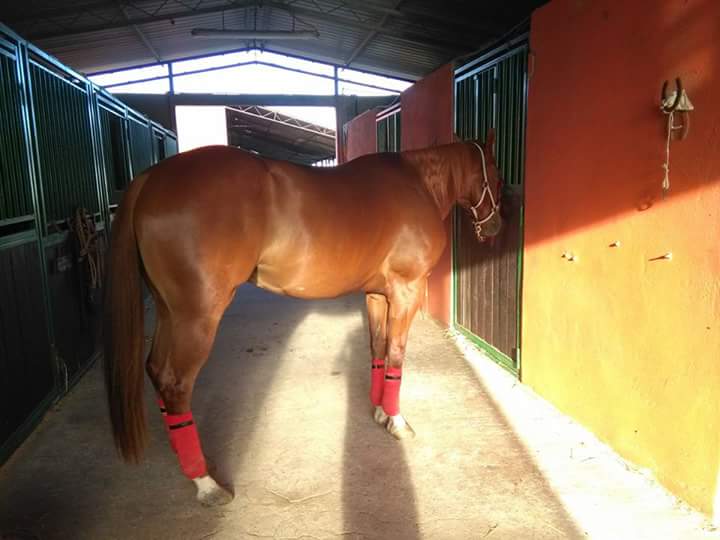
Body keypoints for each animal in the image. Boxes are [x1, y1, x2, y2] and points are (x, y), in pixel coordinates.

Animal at [103, 130, 503, 506]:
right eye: (496, 174)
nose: (495, 228)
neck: (417, 183)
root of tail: (151, 177)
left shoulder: (377, 294)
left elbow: (377, 348)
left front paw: (377, 411)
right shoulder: (407, 292)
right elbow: (396, 355)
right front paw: (397, 421)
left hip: (169, 311)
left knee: (156, 371)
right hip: (197, 317)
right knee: (175, 384)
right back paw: (205, 483)